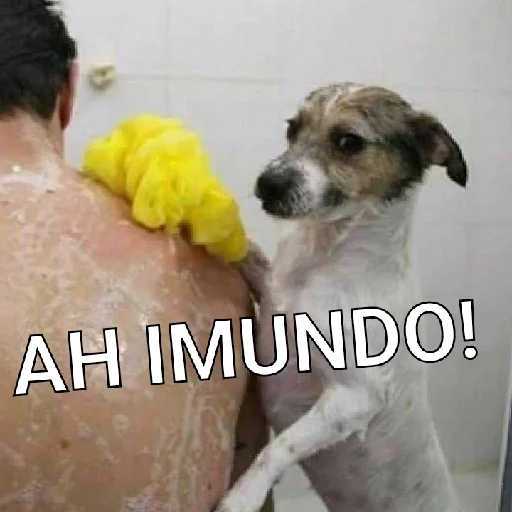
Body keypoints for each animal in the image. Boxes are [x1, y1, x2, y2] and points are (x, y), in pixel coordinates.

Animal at [216, 83, 468, 512]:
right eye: (292, 128)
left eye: (348, 142)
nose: (267, 183)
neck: (325, 256)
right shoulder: (272, 288)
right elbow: (247, 251)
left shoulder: (355, 398)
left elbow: (278, 448)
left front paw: (243, 496)